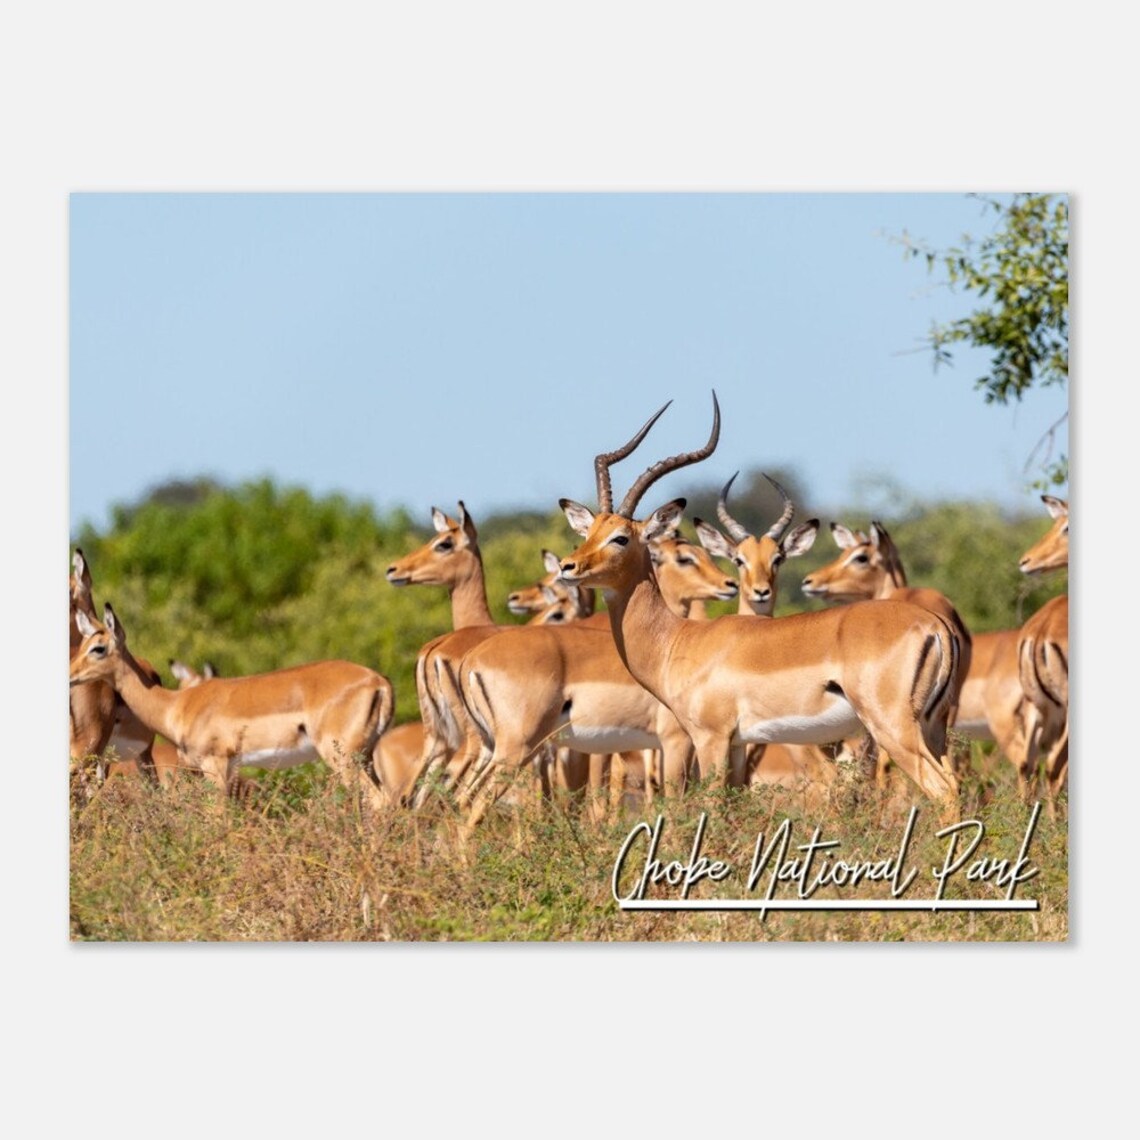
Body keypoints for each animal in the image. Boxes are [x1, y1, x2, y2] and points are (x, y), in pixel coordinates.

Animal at [70, 604, 394, 809]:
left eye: (98, 648)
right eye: (83, 645)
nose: (70, 674)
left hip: (343, 758)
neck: (177, 705)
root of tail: (379, 681)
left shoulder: (215, 765)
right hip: (365, 757)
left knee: (378, 800)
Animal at [556, 393, 962, 821]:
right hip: (933, 727)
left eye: (620, 537)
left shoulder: (710, 739)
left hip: (893, 727)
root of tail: (935, 626)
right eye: (588, 532)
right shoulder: (737, 745)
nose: (568, 567)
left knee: (942, 788)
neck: (678, 641)